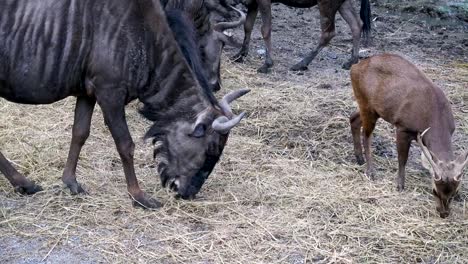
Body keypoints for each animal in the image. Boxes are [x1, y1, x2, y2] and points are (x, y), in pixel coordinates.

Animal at [352, 54, 468, 219]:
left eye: (454, 192)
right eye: (434, 190)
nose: (443, 213)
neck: (434, 116)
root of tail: (355, 67)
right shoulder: (403, 127)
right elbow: (402, 159)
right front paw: (400, 185)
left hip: (373, 109)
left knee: (353, 119)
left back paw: (359, 158)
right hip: (365, 102)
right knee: (366, 135)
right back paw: (370, 171)